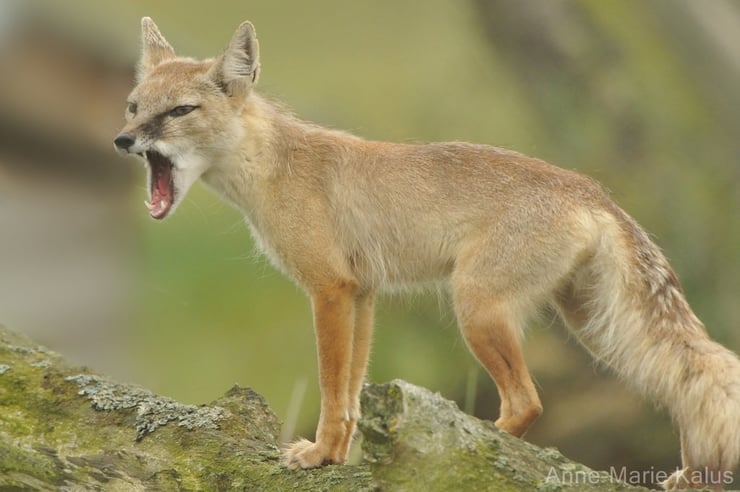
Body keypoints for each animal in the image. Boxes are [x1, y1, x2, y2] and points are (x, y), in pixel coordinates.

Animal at [114, 18, 740, 490]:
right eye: (133, 107)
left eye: (179, 112)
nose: (123, 140)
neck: (276, 168)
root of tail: (592, 190)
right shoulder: (362, 295)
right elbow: (351, 395)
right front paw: (338, 456)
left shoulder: (329, 291)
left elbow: (330, 389)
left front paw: (318, 455)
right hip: (593, 333)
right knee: (678, 384)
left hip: (478, 311)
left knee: (528, 405)